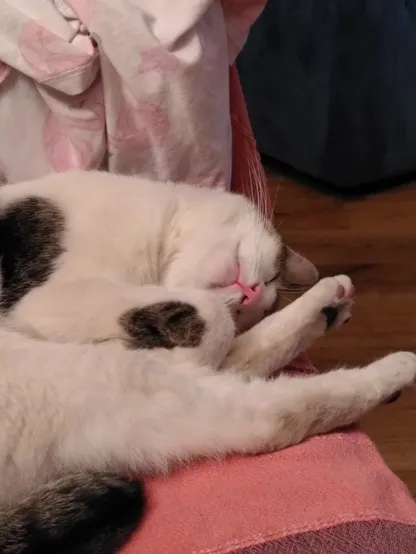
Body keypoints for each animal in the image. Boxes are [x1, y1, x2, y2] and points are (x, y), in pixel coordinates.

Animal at [0, 169, 414, 552]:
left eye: (268, 287)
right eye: (273, 272)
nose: (254, 292)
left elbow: (223, 336)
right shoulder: (45, 302)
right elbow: (214, 321)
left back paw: (332, 305)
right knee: (269, 415)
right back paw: (398, 367)